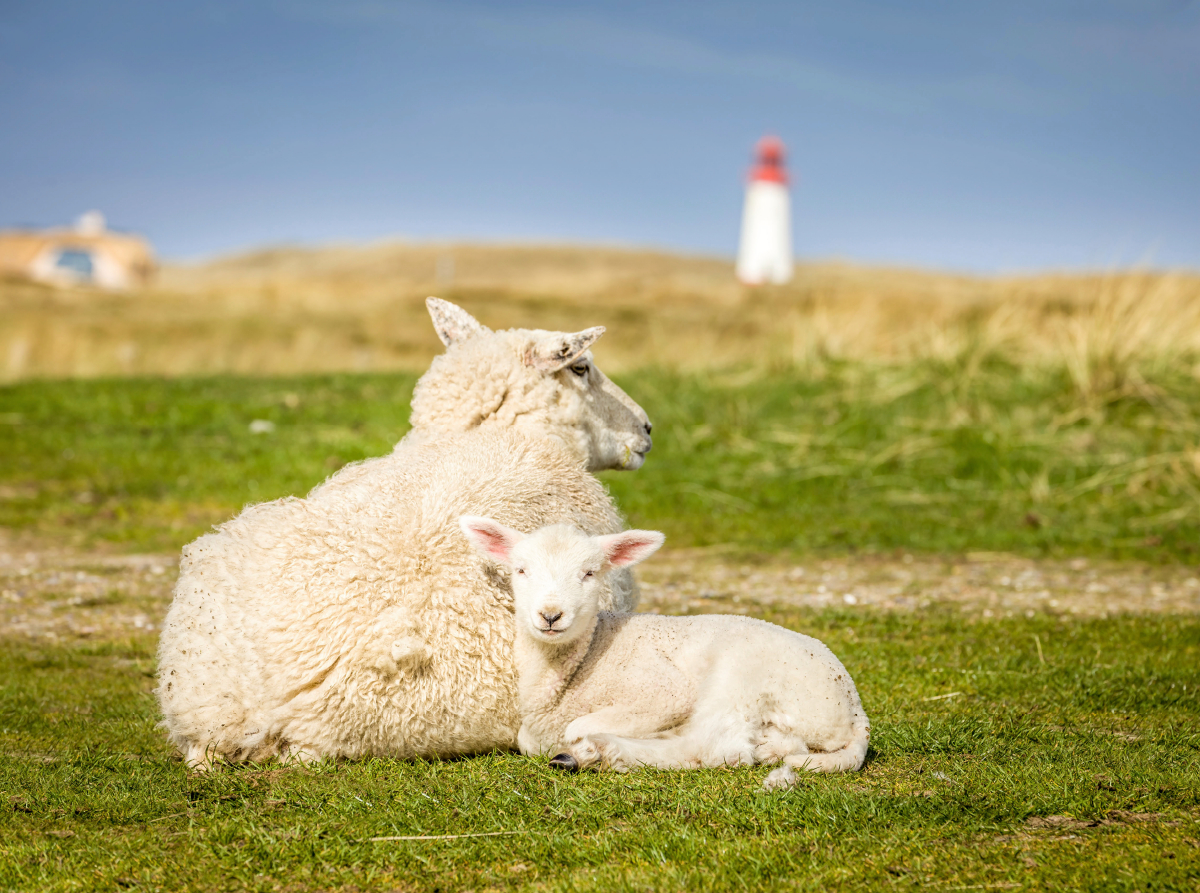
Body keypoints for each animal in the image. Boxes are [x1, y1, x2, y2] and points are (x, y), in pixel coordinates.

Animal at [460, 516, 873, 787]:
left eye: (590, 573)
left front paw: (582, 743)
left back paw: (601, 753)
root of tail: (855, 714)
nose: (550, 615)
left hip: (743, 677)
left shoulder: (662, 690)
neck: (587, 658)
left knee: (715, 747)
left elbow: (577, 725)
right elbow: (526, 740)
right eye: (521, 570)